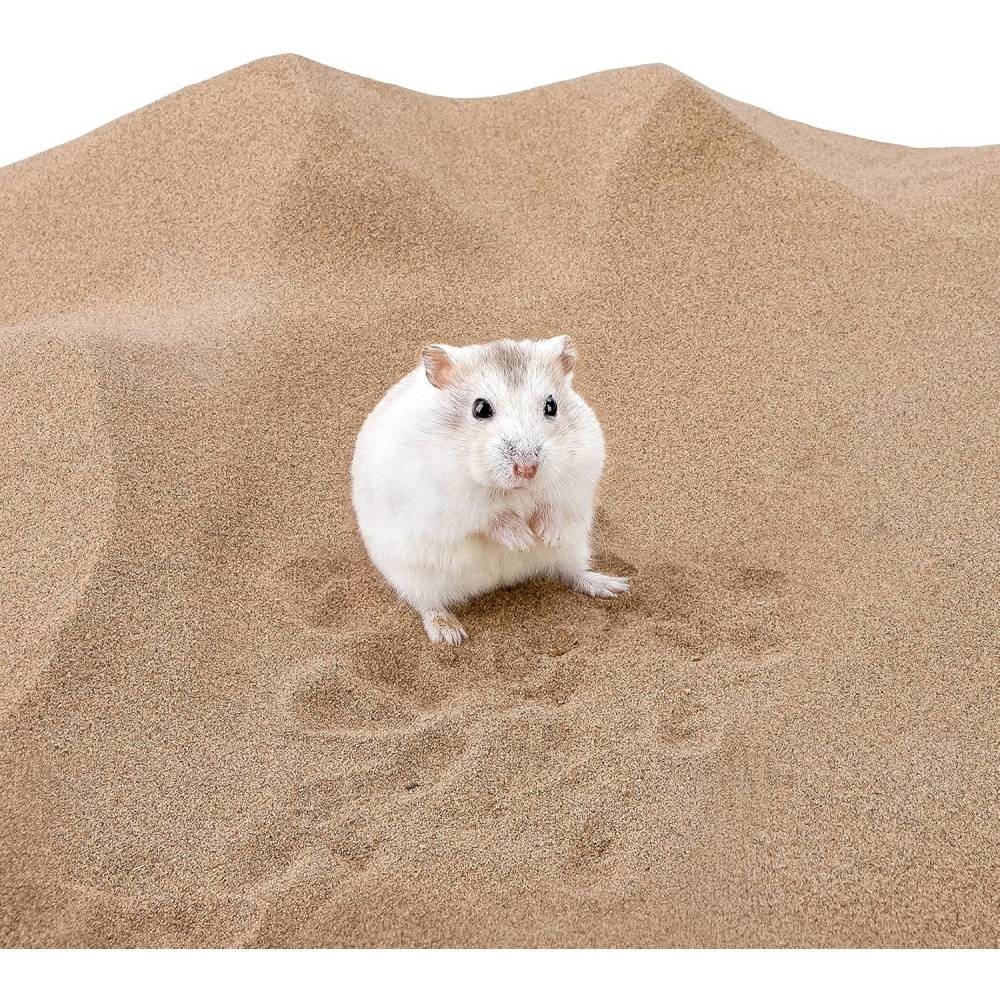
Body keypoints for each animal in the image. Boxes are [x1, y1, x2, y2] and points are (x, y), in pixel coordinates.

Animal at [351, 336, 628, 644]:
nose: (527, 469)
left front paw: (546, 537)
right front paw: (524, 541)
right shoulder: (450, 501)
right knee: (428, 604)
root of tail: (500, 580)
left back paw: (612, 586)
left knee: (572, 573)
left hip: (575, 547)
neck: (516, 490)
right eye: (480, 408)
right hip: (414, 575)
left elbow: (552, 505)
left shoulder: (578, 476)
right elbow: (491, 517)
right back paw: (449, 634)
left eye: (552, 405)